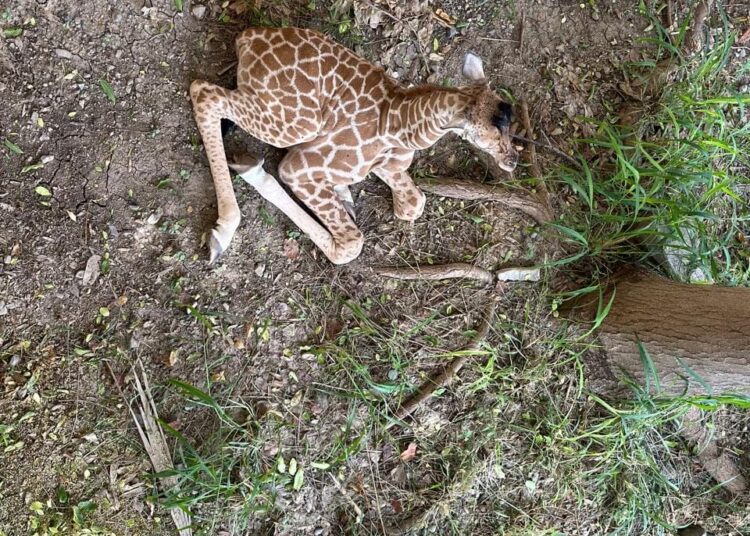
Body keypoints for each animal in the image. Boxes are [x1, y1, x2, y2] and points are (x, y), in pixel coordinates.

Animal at [190, 27, 518, 265]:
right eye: (494, 132)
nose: (513, 160)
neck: (403, 124)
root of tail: (246, 38)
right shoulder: (297, 169)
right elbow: (351, 245)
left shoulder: (388, 167)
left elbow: (413, 204)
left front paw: (345, 194)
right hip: (297, 125)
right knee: (204, 91)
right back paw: (223, 231)